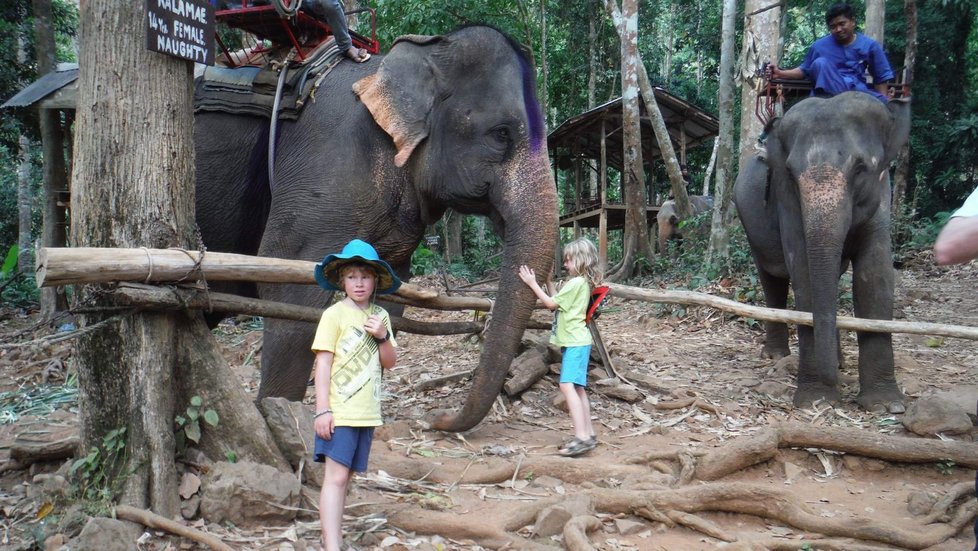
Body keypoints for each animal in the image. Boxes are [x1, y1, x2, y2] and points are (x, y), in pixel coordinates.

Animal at [194, 25, 556, 432]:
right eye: (501, 133)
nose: (437, 417)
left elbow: (391, 297)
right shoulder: (327, 165)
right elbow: (289, 288)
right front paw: (284, 416)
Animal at [736, 92, 912, 412]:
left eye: (860, 168)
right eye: (790, 173)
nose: (833, 381)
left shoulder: (882, 198)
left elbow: (875, 277)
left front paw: (886, 405)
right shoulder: (785, 200)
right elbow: (804, 274)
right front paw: (816, 400)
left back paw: (839, 361)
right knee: (771, 280)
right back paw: (776, 356)